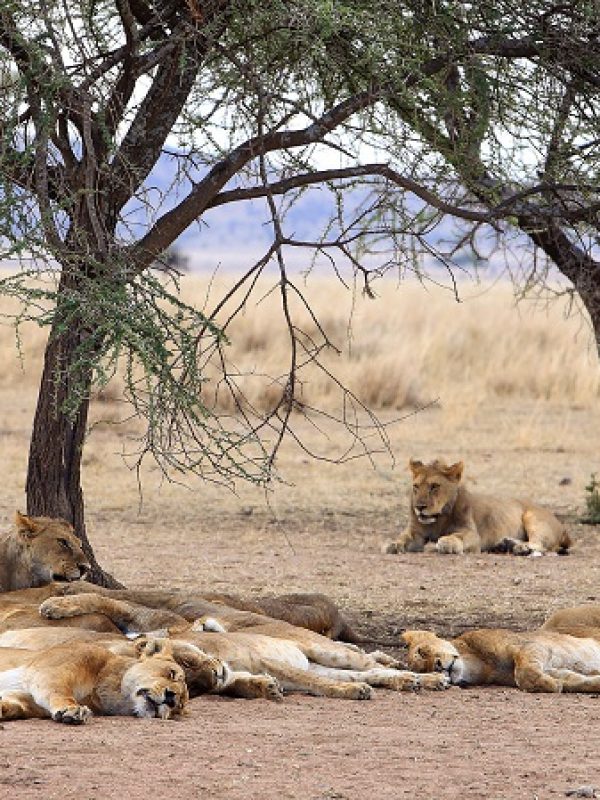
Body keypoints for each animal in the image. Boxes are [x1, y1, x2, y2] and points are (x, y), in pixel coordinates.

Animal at [0, 636, 188, 724]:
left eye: (179, 707)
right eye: (171, 673)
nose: (171, 699)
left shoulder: (26, 699)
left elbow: (15, 706)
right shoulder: (49, 671)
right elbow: (59, 691)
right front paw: (72, 709)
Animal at [382, 456, 568, 556]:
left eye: (434, 486)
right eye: (416, 486)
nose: (419, 507)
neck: (438, 519)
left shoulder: (471, 533)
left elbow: (458, 536)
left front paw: (447, 542)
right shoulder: (415, 531)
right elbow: (404, 537)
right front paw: (393, 544)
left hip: (532, 517)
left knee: (539, 543)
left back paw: (520, 548)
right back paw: (505, 544)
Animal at [400, 624, 600, 692]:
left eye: (422, 651)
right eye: (423, 670)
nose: (439, 666)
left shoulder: (530, 646)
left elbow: (524, 673)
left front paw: (549, 685)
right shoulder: (551, 668)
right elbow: (577, 680)